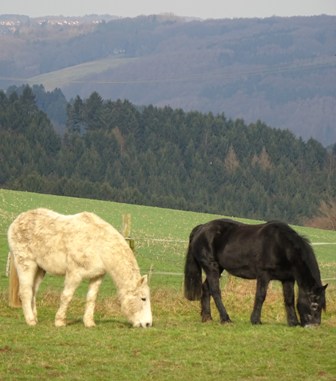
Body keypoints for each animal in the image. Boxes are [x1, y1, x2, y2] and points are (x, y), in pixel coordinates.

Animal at [7, 208, 152, 326]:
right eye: (143, 298)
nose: (147, 324)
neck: (99, 245)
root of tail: (17, 220)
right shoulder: (74, 274)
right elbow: (67, 296)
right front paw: (60, 321)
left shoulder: (97, 276)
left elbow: (91, 298)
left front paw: (89, 322)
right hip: (25, 263)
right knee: (26, 292)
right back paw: (31, 321)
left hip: (40, 269)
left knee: (33, 291)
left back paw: (34, 317)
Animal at [185, 218, 326, 326]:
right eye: (314, 305)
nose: (314, 325)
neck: (281, 245)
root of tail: (201, 228)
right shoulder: (264, 275)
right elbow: (260, 296)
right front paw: (255, 320)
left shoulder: (288, 279)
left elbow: (289, 299)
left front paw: (293, 322)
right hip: (211, 267)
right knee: (215, 291)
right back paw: (225, 319)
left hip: (218, 268)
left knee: (206, 289)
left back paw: (207, 318)